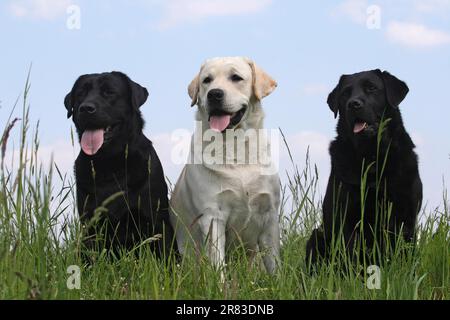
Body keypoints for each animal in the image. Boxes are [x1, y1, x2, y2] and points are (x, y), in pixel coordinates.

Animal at [65, 72, 178, 258]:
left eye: (109, 92)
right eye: (81, 93)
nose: (86, 108)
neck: (111, 163)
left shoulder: (156, 218)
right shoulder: (90, 223)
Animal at [306, 70, 422, 268]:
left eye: (371, 88)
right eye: (345, 93)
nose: (353, 104)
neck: (372, 158)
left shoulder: (405, 217)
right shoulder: (347, 218)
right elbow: (352, 257)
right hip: (316, 236)